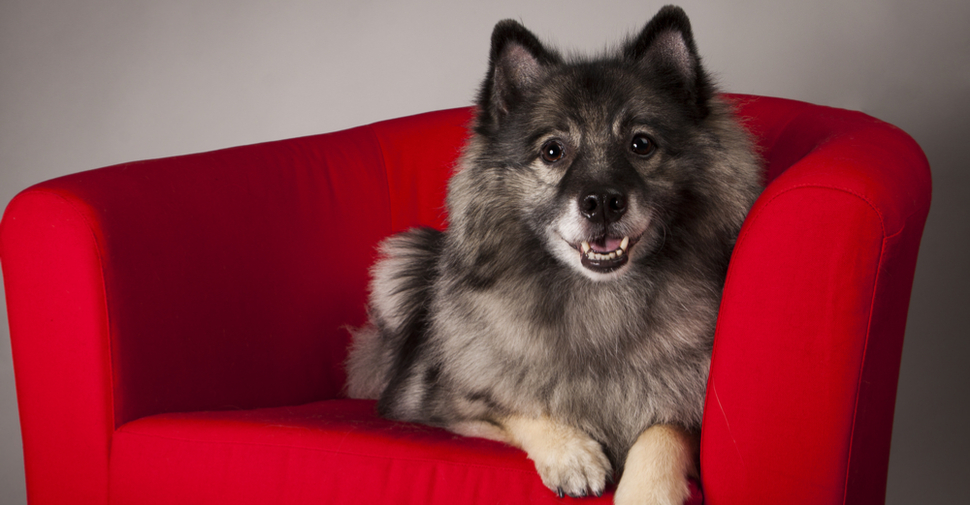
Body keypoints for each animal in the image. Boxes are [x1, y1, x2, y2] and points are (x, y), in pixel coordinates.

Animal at [344, 4, 760, 504]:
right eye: (553, 151)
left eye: (641, 143)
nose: (602, 203)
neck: (601, 301)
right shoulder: (442, 402)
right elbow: (520, 406)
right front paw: (572, 455)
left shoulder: (689, 405)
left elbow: (663, 429)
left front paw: (646, 490)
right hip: (403, 259)